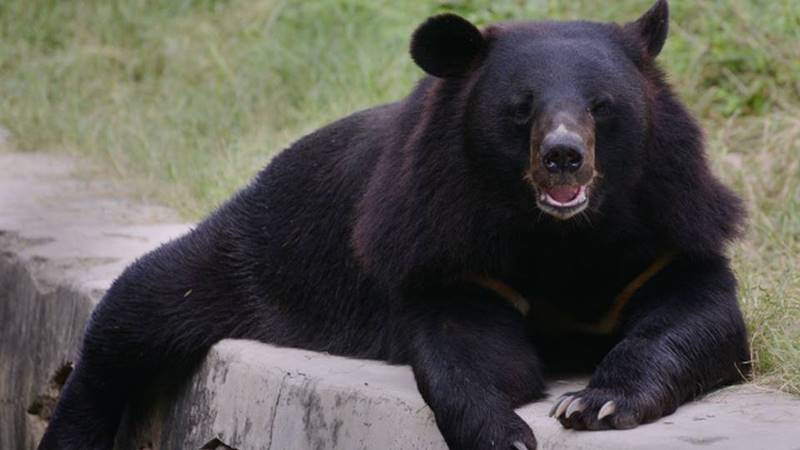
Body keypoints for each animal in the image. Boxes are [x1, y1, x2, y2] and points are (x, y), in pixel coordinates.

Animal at [39, 1, 749, 449]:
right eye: (521, 109)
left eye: (601, 107)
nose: (563, 156)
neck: (559, 234)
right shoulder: (446, 246)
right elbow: (460, 347)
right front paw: (505, 432)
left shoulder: (663, 230)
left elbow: (695, 316)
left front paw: (595, 402)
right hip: (255, 253)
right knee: (139, 310)